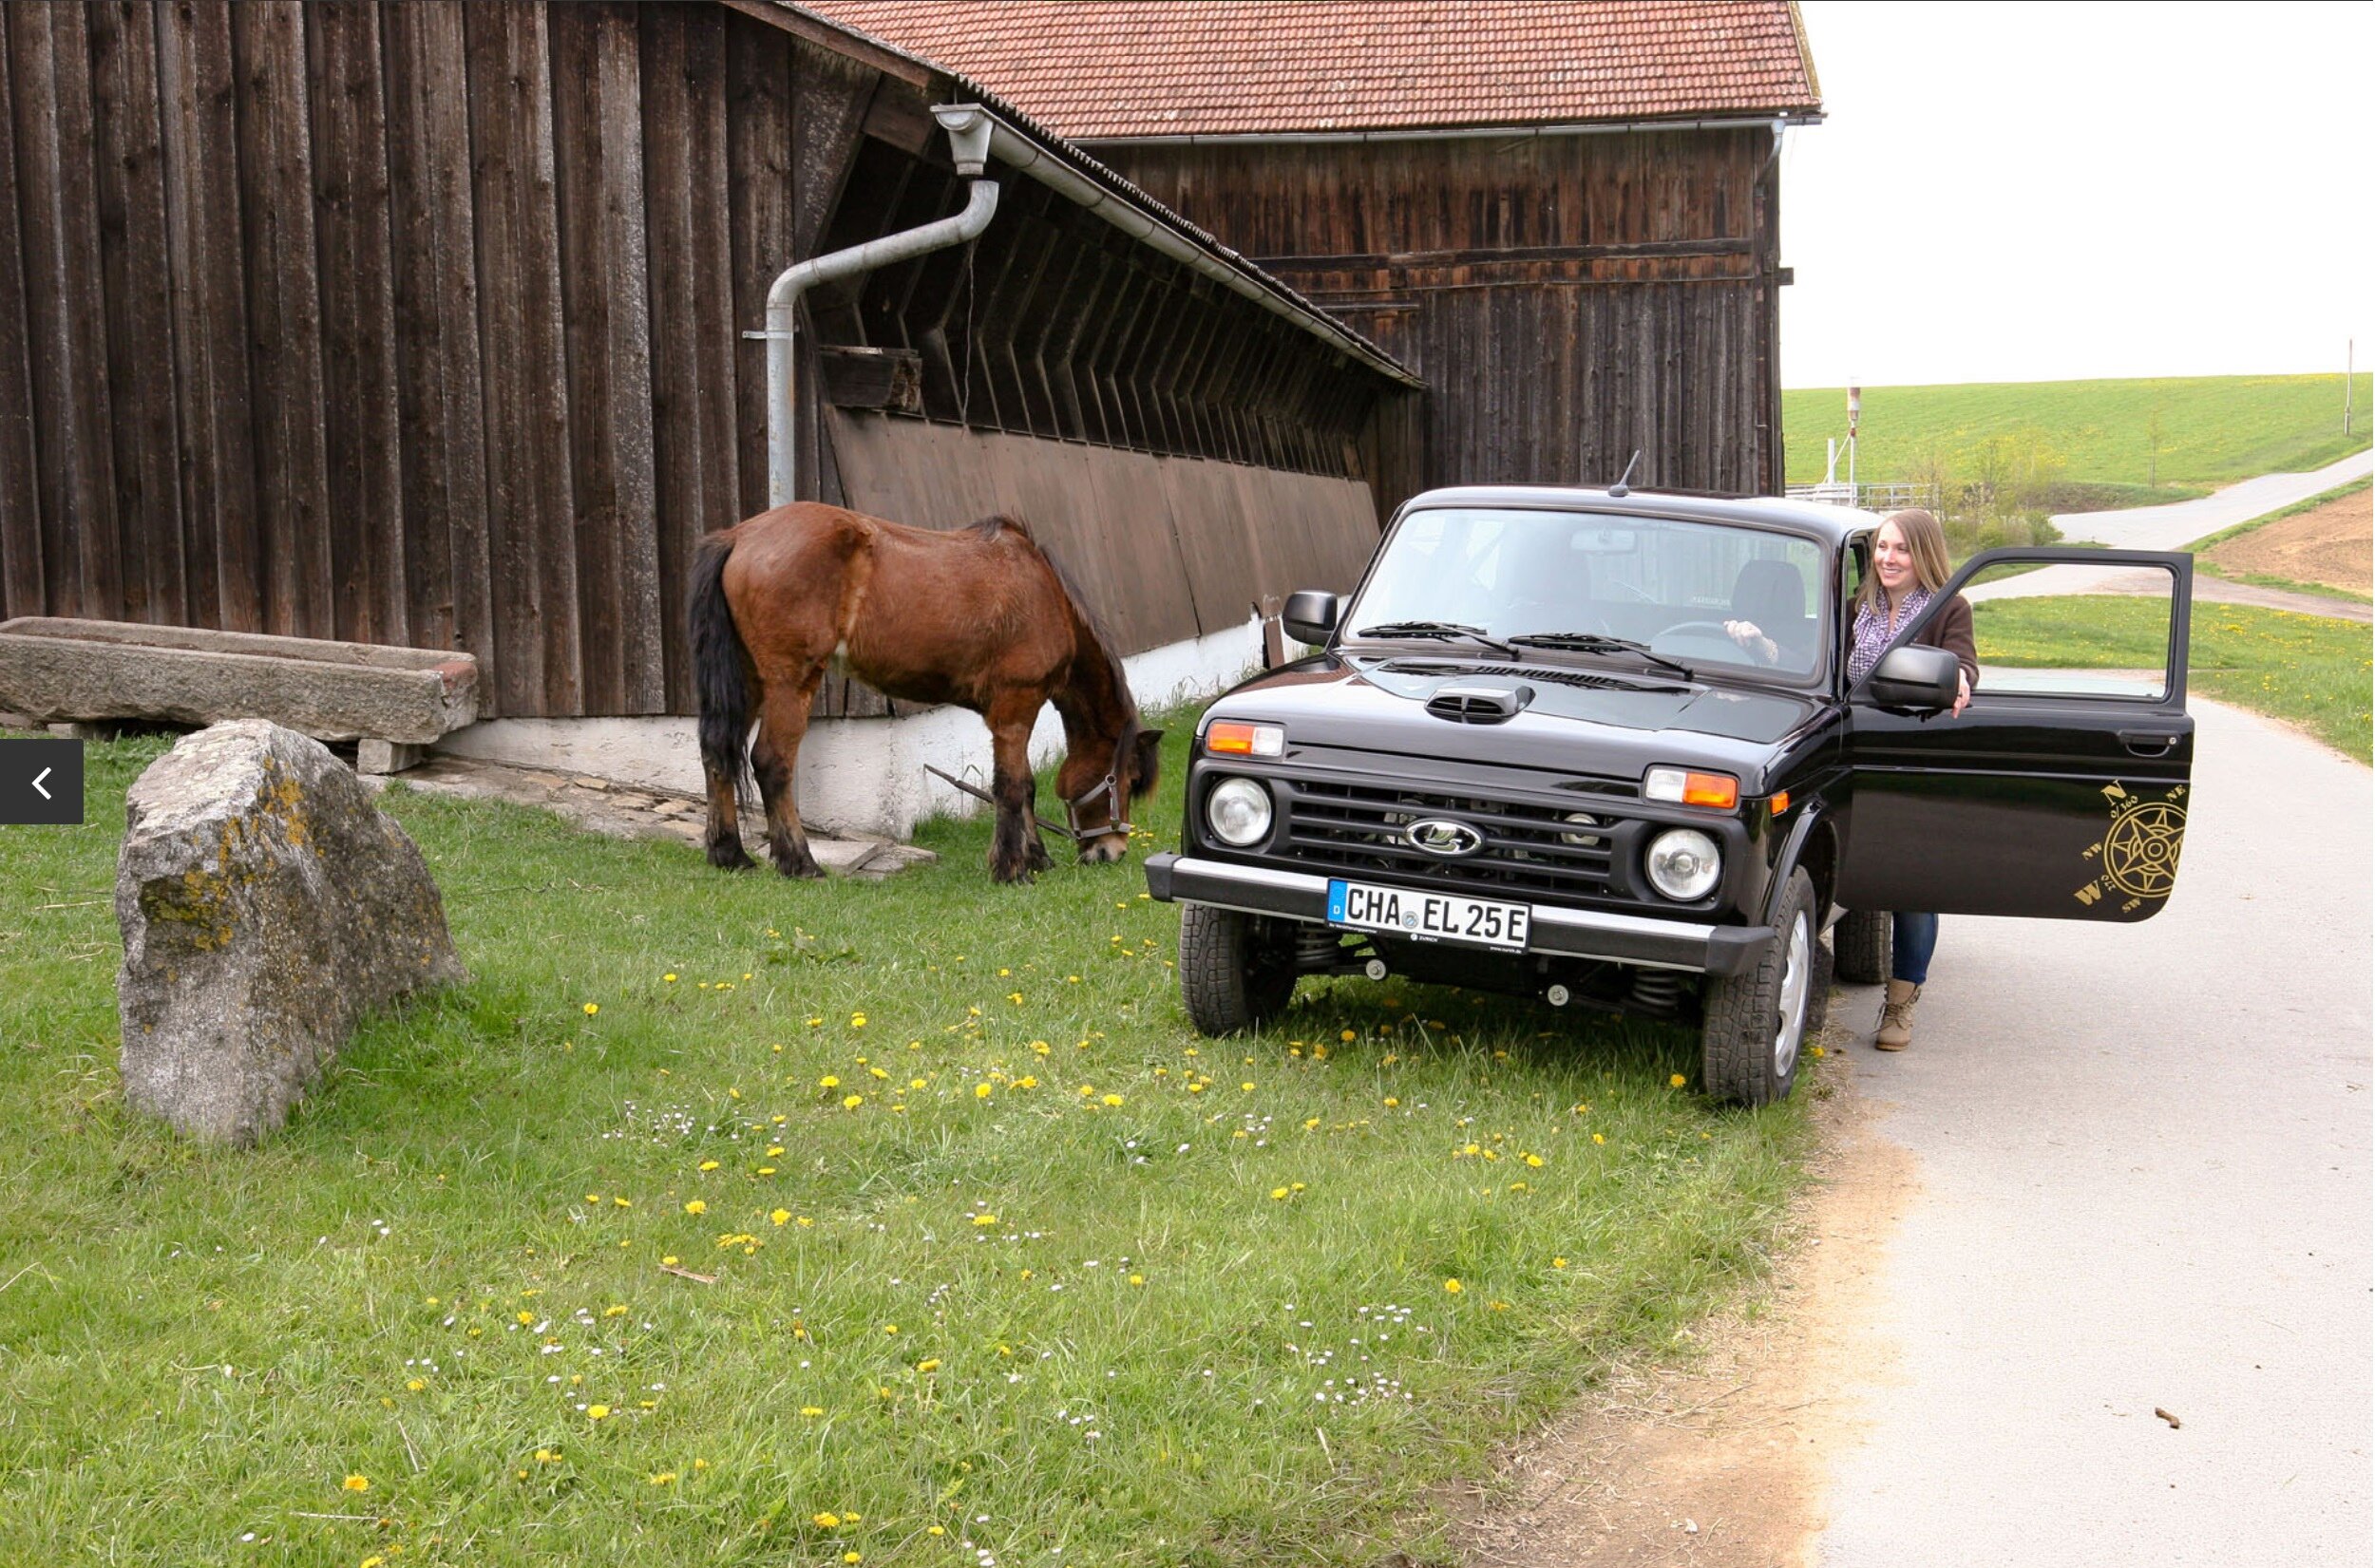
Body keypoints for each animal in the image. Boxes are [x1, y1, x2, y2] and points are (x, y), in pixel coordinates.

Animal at [684, 508, 1164, 888]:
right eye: (1129, 779)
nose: (1112, 851)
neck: (1044, 596)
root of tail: (739, 537)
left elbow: (1024, 788)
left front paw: (1036, 857)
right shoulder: (1015, 707)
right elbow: (1013, 786)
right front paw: (1013, 868)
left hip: (749, 678)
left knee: (717, 753)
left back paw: (731, 855)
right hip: (790, 682)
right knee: (771, 763)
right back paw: (800, 863)